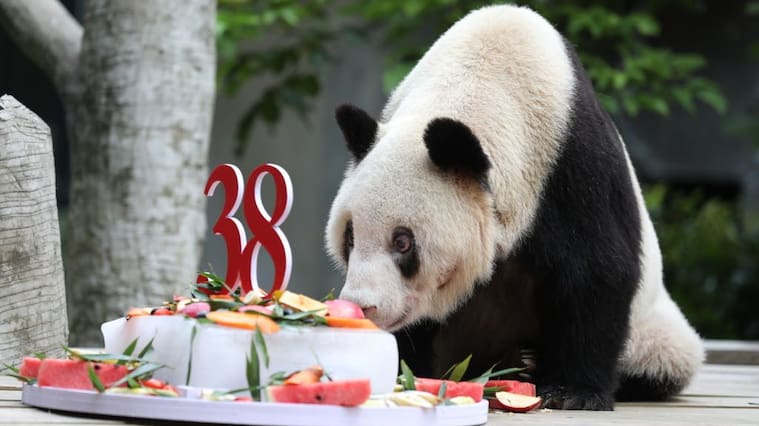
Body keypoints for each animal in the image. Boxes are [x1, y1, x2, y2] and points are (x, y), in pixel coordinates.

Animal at [325, 5, 703, 410]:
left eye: (403, 242)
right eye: (349, 237)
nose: (362, 306)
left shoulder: (570, 167)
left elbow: (598, 269)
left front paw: (573, 392)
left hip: (653, 329)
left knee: (662, 357)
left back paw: (531, 362)